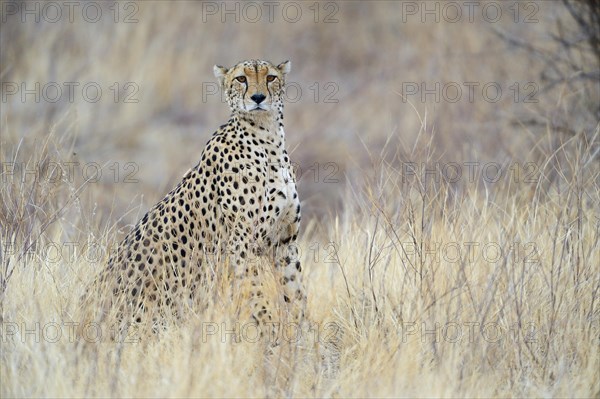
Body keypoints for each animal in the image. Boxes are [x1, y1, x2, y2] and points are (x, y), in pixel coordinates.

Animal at [91, 58, 308, 334]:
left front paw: (303, 333)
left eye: (270, 77)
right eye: (241, 79)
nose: (258, 97)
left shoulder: (284, 241)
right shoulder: (242, 244)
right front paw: (270, 332)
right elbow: (256, 293)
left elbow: (296, 293)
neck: (268, 139)